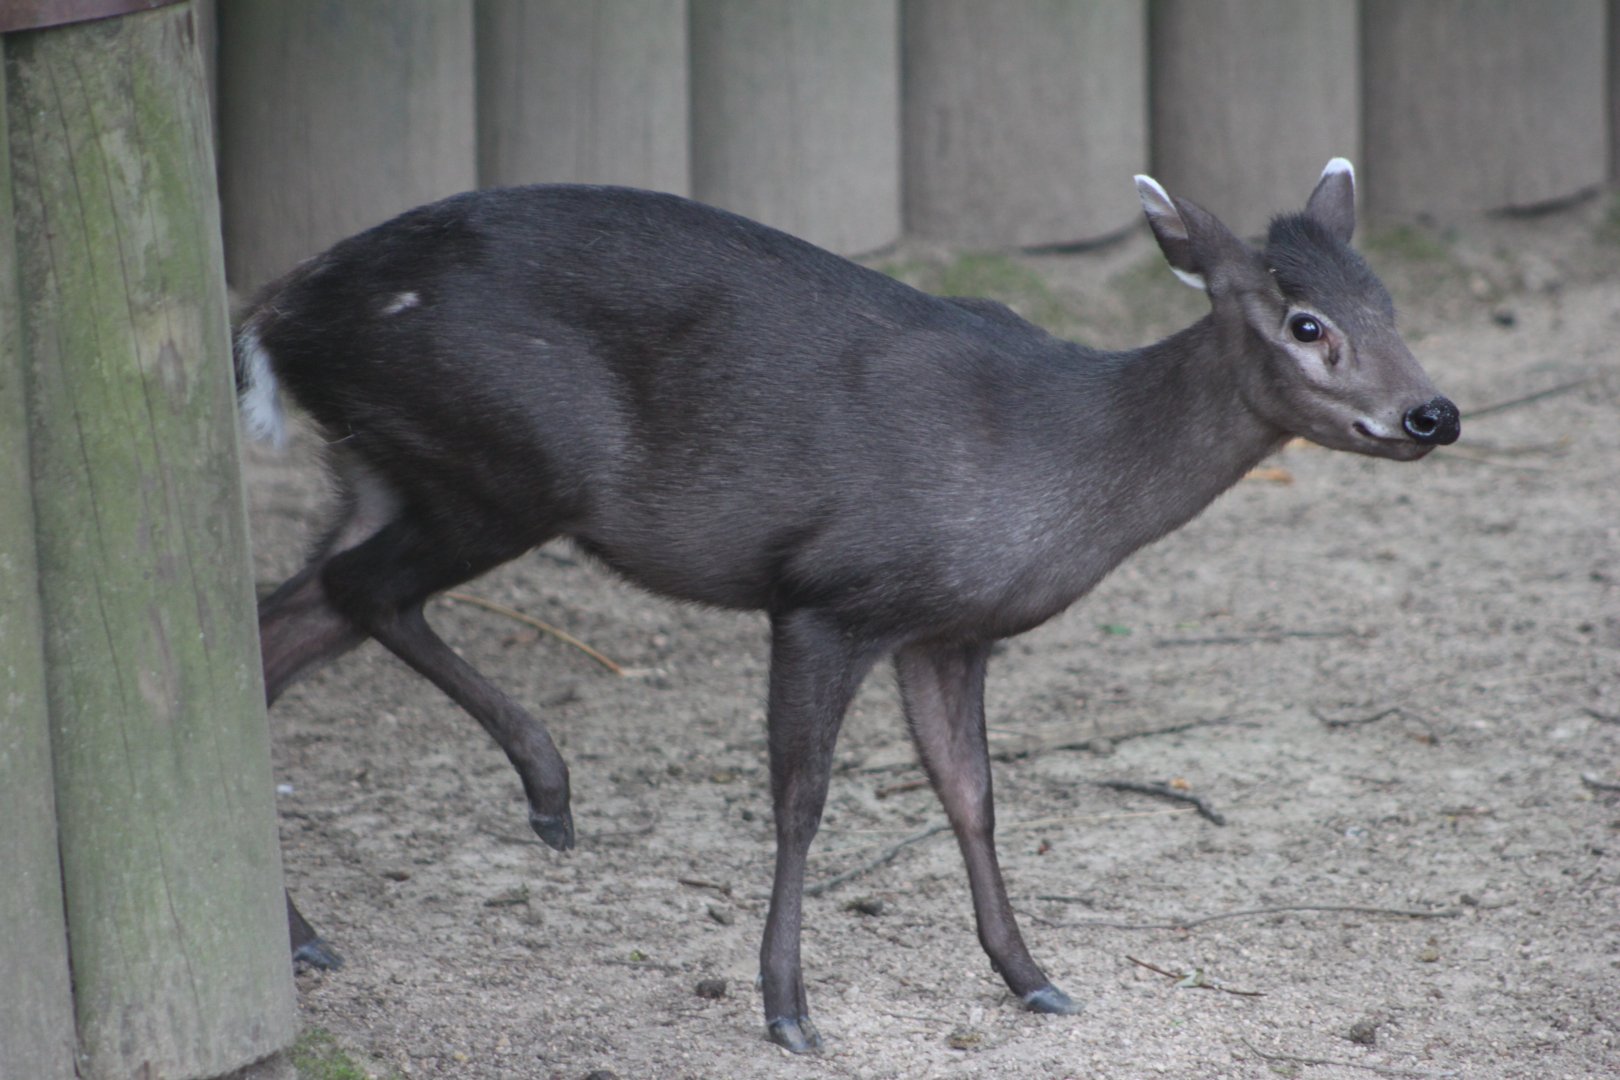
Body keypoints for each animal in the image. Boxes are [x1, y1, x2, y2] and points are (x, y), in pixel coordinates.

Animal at [236, 158, 1458, 1052]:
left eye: (1390, 302)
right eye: (1305, 322)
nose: (1432, 413)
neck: (1050, 459)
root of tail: (278, 316)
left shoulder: (947, 630)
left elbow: (972, 795)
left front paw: (1033, 978)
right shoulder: (828, 595)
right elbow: (802, 800)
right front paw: (787, 1008)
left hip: (389, 468)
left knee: (279, 623)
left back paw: (309, 936)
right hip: (500, 461)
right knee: (355, 591)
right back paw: (545, 790)